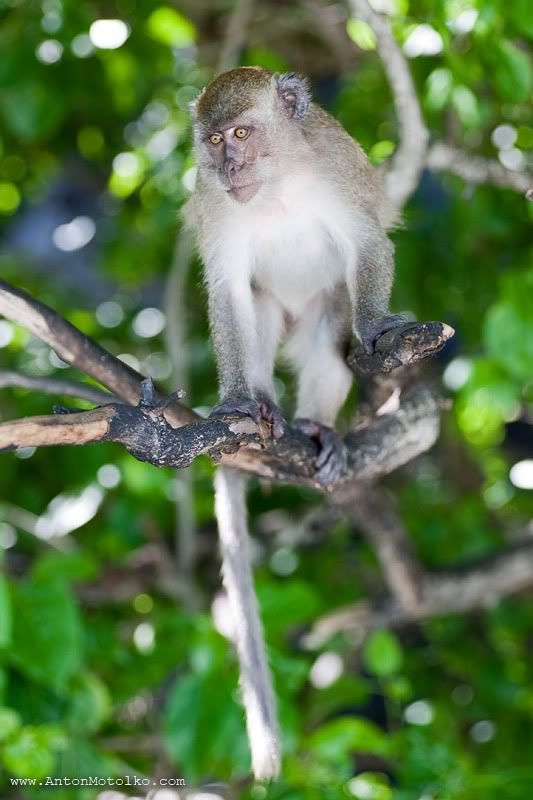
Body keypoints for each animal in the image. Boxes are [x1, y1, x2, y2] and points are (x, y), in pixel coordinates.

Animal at [186, 65, 404, 780]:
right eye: (215, 140)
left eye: (242, 134)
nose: (229, 165)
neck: (277, 182)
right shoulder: (215, 203)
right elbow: (226, 290)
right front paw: (234, 400)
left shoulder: (334, 166)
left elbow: (367, 244)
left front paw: (377, 327)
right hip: (269, 319)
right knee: (253, 310)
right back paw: (262, 410)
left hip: (315, 311)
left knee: (329, 332)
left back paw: (316, 428)